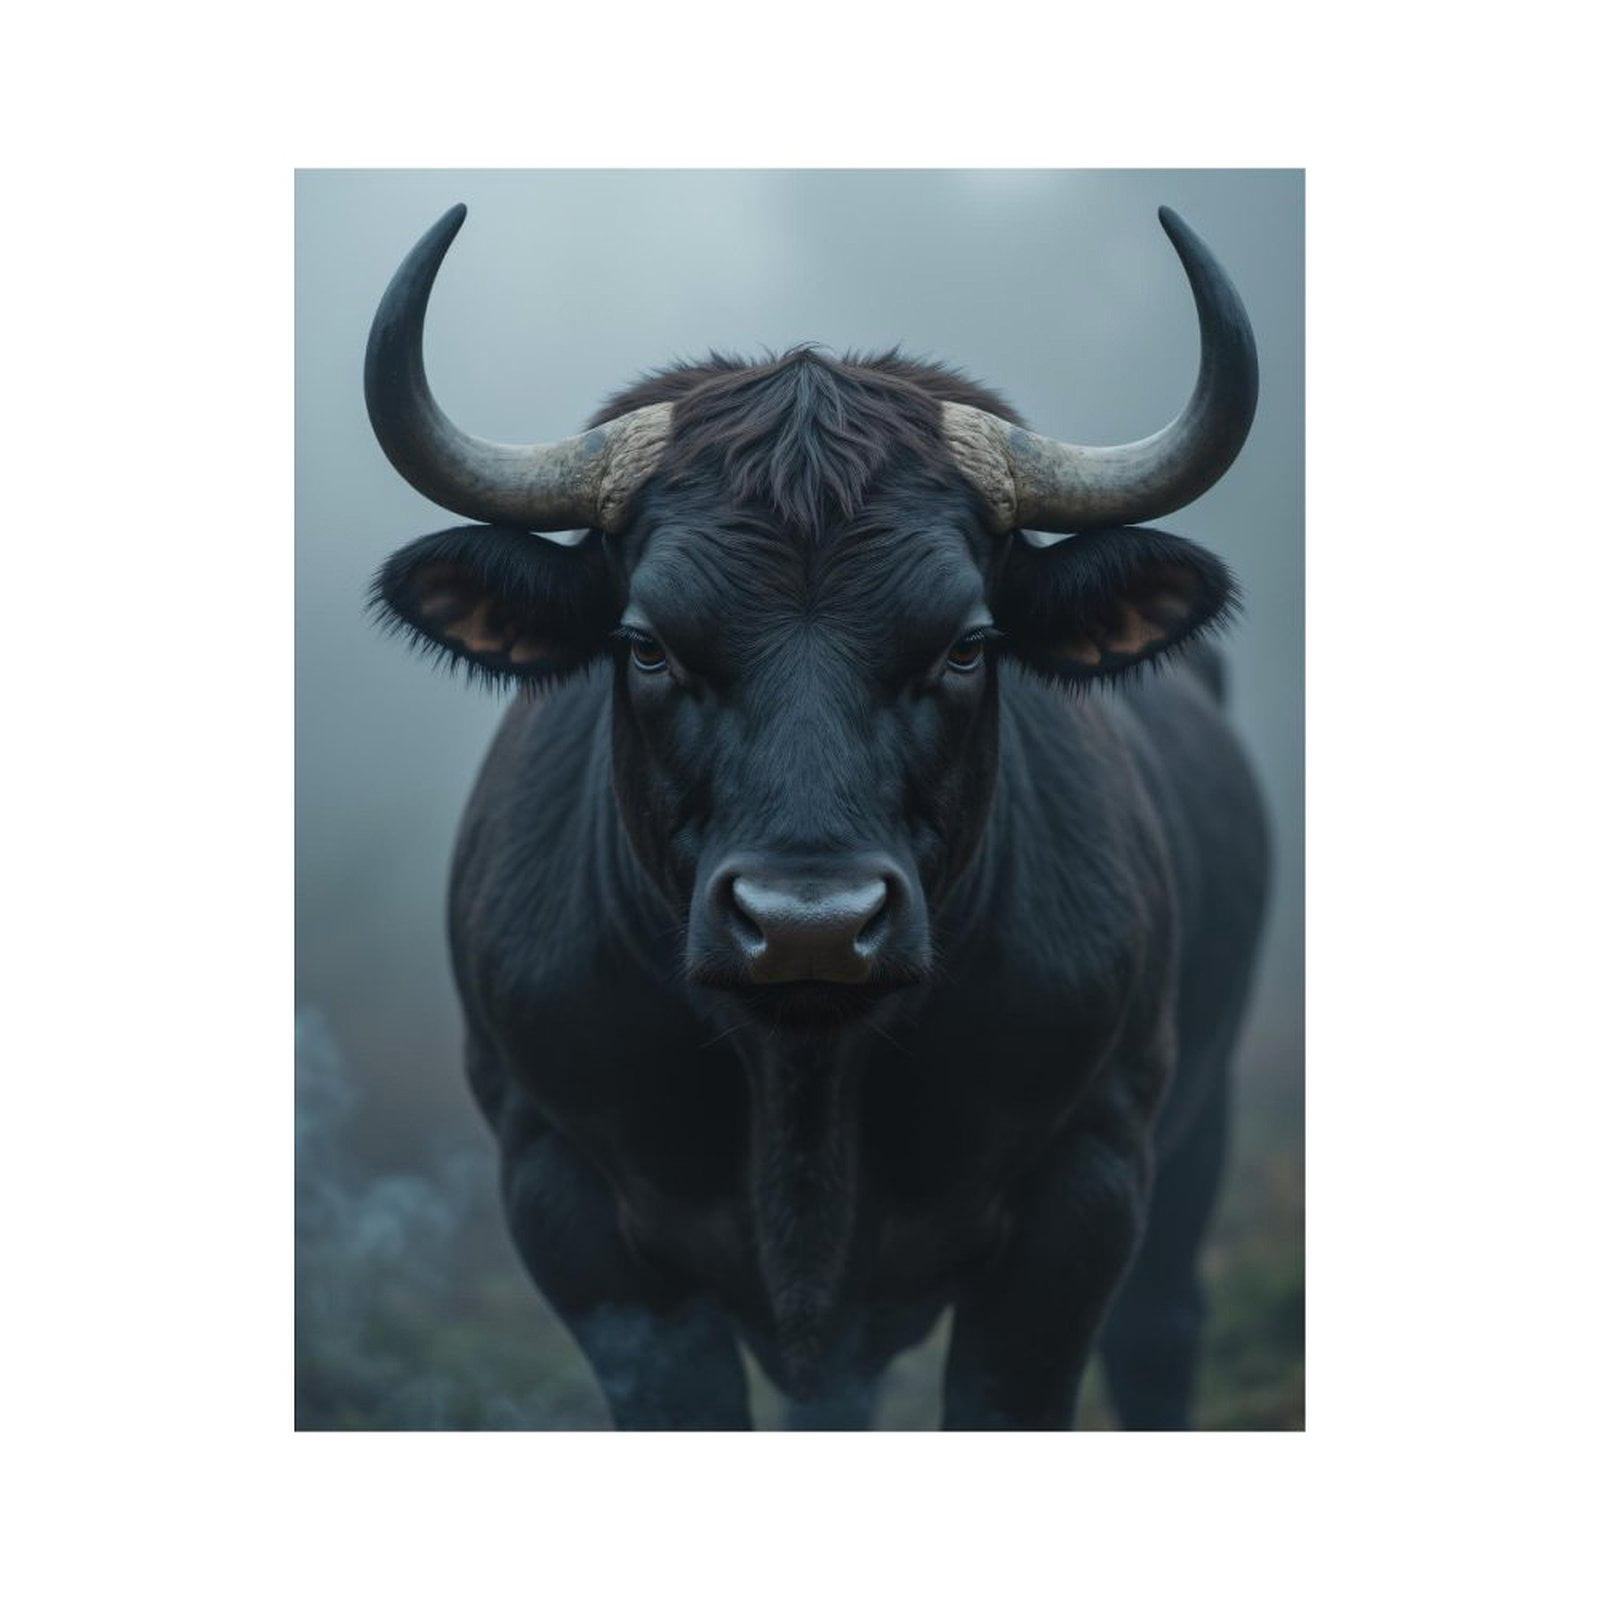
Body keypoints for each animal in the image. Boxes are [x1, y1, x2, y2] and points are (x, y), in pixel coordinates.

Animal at [363, 202, 1270, 1429]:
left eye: (967, 644)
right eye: (645, 643)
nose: (810, 925)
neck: (803, 1073)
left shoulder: (1087, 1187)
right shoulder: (566, 1197)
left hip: (1198, 1125)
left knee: (1160, 1327)